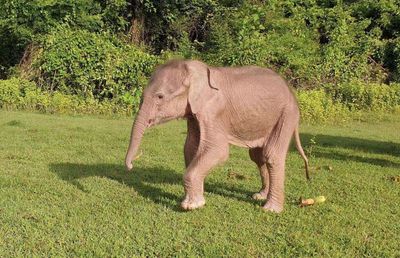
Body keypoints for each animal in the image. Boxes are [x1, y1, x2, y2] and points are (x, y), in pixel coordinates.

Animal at [125, 59, 310, 213]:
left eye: (160, 96)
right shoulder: (195, 113)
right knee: (258, 156)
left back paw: (270, 209)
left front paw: (191, 206)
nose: (131, 166)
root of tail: (291, 92)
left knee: (272, 154)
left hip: (287, 115)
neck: (194, 69)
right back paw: (259, 196)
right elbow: (190, 148)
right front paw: (195, 199)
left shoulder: (214, 111)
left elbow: (217, 150)